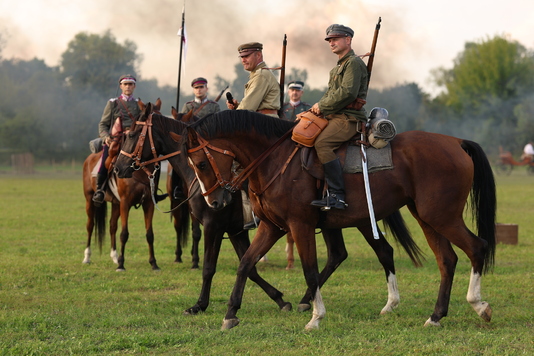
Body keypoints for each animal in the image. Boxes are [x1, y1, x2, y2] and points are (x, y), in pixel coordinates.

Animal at [114, 106, 428, 318]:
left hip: (357, 220)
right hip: (340, 222)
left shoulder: (215, 225)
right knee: (353, 253)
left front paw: (200, 305)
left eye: (132, 134)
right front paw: (279, 299)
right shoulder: (238, 230)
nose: (118, 168)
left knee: (365, 253)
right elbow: (248, 265)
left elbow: (210, 268)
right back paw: (310, 300)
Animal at [184, 110, 498, 330]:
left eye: (201, 163)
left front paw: (315, 317)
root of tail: (455, 142)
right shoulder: (272, 228)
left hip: (441, 216)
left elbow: (310, 271)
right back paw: (435, 316)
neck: (275, 160)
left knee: (476, 247)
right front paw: (230, 314)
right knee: (446, 259)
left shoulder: (300, 226)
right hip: (425, 217)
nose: (214, 202)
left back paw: (478, 304)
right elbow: (245, 264)